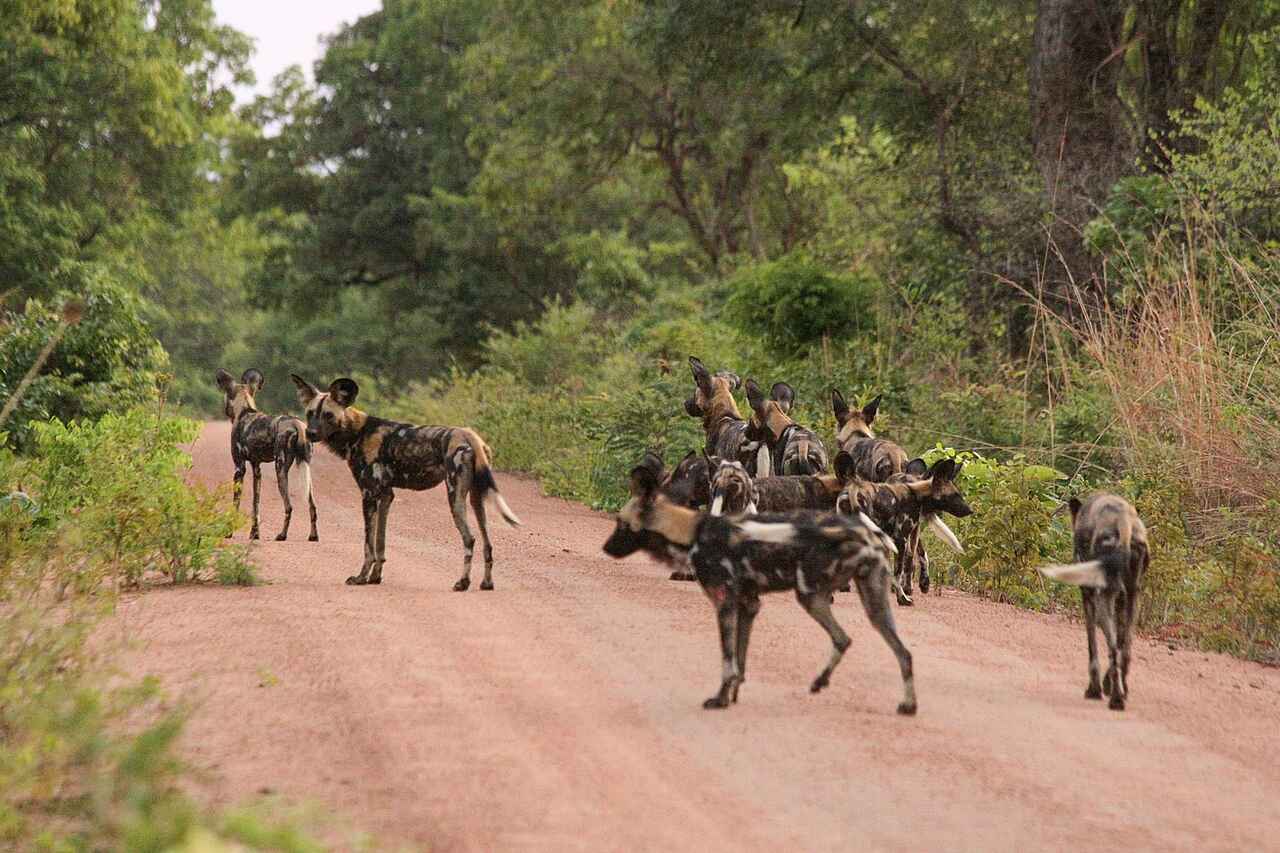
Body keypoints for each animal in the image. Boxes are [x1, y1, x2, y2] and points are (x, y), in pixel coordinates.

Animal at [216, 368, 318, 542]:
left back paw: (282, 535)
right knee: (312, 505)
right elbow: (255, 505)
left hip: (280, 469)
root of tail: (296, 424)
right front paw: (254, 534)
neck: (244, 411)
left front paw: (228, 532)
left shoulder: (239, 468)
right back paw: (313, 536)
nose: (224, 410)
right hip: (306, 469)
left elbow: (235, 504)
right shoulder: (257, 469)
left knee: (289, 506)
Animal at [291, 375, 520, 589]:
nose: (310, 433)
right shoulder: (386, 495)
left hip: (454, 497)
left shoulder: (369, 495)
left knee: (470, 539)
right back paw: (486, 583)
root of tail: (468, 434)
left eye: (328, 415)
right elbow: (380, 543)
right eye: (310, 413)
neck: (356, 432)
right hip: (476, 499)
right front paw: (375, 577)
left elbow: (368, 546)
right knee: (487, 543)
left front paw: (361, 578)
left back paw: (462, 583)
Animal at [602, 453, 917, 715]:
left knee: (845, 638)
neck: (692, 531)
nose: (605, 548)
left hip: (810, 596)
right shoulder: (749, 605)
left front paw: (720, 699)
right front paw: (731, 696)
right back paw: (903, 704)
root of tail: (860, 533)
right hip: (873, 606)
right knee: (900, 652)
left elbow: (728, 662)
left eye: (621, 523)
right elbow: (740, 662)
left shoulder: (725, 604)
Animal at [835, 454, 971, 605]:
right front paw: (902, 598)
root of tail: (851, 490)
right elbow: (898, 573)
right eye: (955, 495)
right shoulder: (900, 540)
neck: (917, 495)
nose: (970, 510)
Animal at [1037, 494, 1149, 711]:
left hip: (1103, 599)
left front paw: (1094, 688)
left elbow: (1093, 649)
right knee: (1125, 648)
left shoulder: (1088, 596)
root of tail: (1123, 520)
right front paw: (1108, 686)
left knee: (1113, 648)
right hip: (1132, 599)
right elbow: (1120, 647)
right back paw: (1119, 690)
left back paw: (1115, 698)